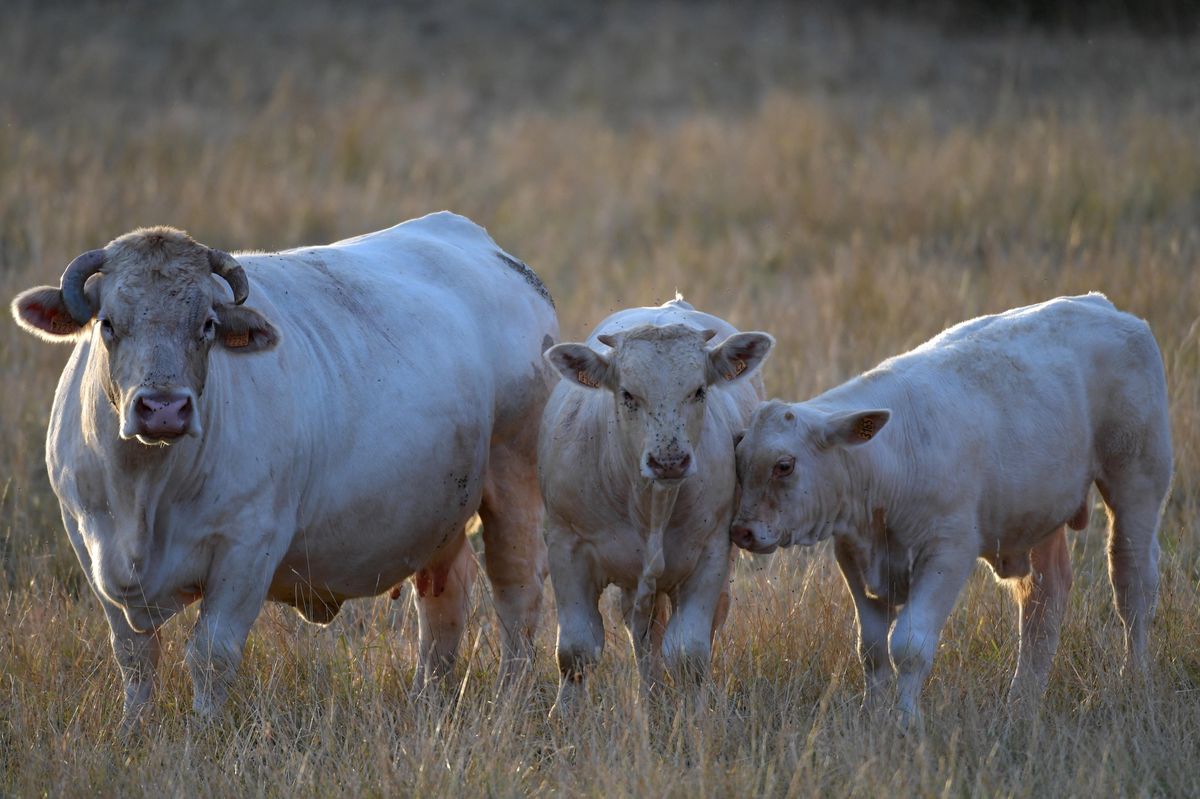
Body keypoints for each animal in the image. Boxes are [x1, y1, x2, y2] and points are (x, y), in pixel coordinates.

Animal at [10, 212, 558, 727]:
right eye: (108, 324)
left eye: (206, 325)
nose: (163, 409)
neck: (143, 492)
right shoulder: (87, 540)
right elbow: (135, 656)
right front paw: (134, 727)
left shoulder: (247, 549)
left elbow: (210, 654)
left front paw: (205, 730)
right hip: (440, 516)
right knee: (445, 598)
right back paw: (426, 697)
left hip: (514, 482)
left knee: (517, 596)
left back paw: (509, 699)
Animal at [539, 297, 773, 714]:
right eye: (628, 394)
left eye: (699, 390)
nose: (669, 461)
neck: (649, 503)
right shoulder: (567, 548)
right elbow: (576, 650)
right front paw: (564, 716)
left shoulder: (710, 555)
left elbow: (688, 654)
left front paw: (696, 717)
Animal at [731, 293, 1172, 724]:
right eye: (739, 456)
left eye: (784, 465)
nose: (741, 530)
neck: (890, 459)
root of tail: (1103, 306)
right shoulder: (854, 555)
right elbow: (871, 648)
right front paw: (872, 714)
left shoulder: (948, 552)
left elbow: (908, 645)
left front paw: (906, 720)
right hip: (1040, 516)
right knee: (1044, 600)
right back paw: (1022, 699)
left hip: (1136, 480)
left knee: (1132, 580)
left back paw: (1132, 677)